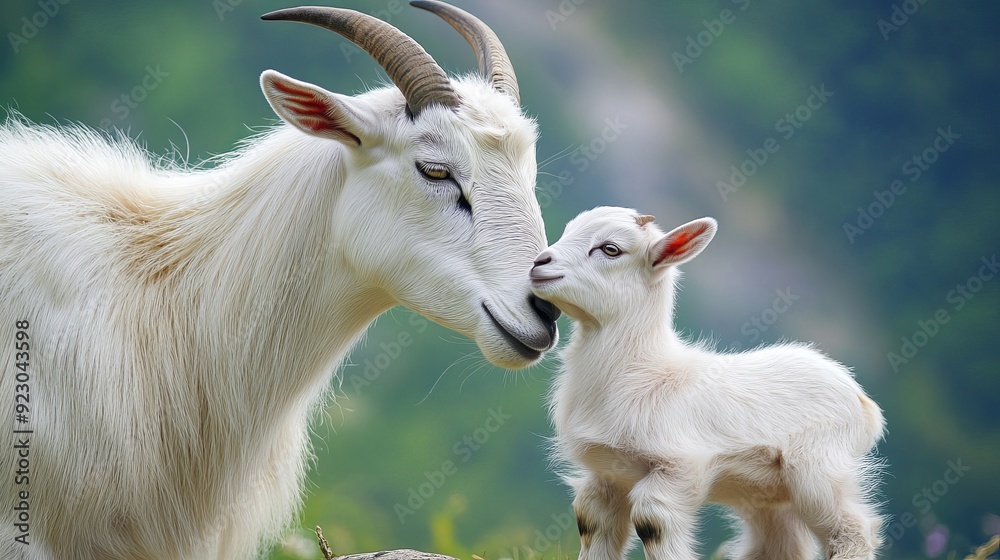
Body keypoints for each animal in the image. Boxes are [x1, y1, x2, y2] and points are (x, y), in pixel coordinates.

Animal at [529, 207, 885, 560]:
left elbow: (652, 523)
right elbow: (591, 522)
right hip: (769, 493)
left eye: (611, 249)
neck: (644, 372)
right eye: (567, 231)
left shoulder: (679, 466)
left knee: (851, 530)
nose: (538, 263)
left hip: (819, 467)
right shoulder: (605, 475)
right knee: (780, 545)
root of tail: (862, 401)